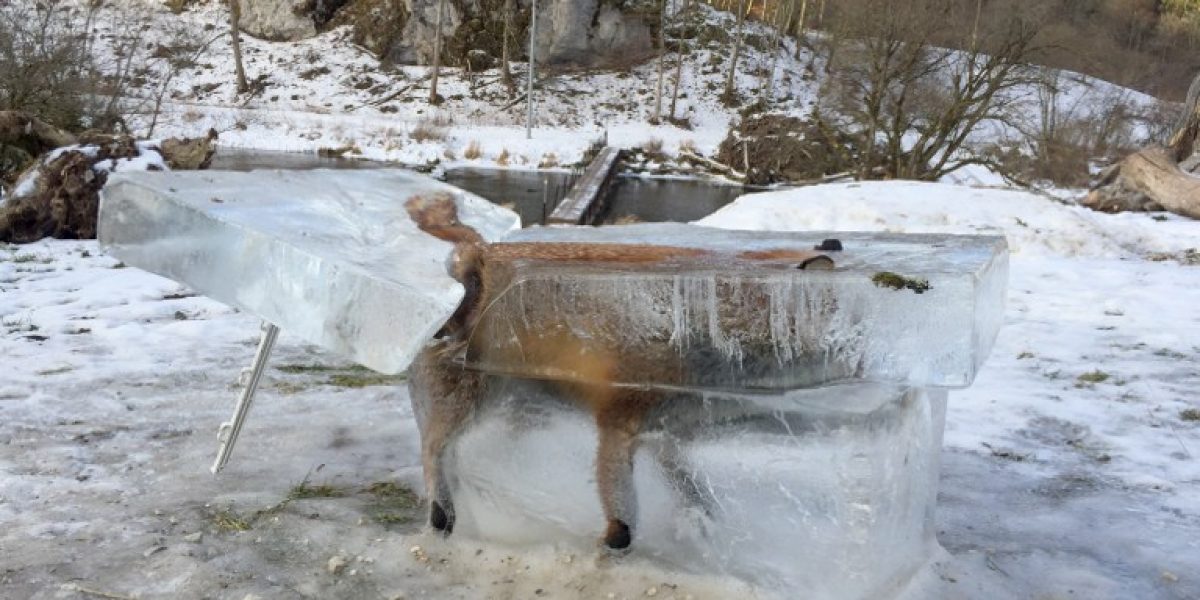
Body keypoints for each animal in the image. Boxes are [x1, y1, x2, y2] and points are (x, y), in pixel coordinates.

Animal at [404, 193, 835, 550]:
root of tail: (480, 251)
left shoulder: (668, 432)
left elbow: (691, 487)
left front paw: (700, 522)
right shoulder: (619, 419)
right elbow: (623, 511)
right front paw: (615, 544)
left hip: (520, 410)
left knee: (471, 452)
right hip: (471, 400)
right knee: (434, 448)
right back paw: (442, 512)